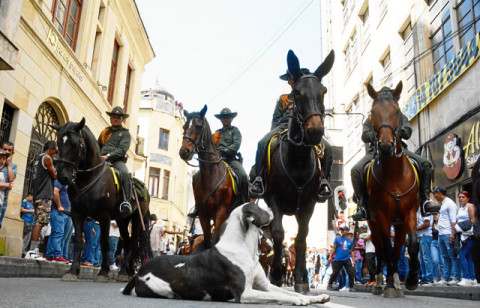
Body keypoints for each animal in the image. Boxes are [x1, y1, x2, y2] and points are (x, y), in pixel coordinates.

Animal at [52, 118, 150, 282]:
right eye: (59, 142)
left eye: (75, 144)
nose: (62, 177)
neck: (89, 177)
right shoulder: (77, 213)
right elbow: (78, 241)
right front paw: (72, 271)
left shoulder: (104, 216)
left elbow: (104, 243)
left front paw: (103, 272)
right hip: (123, 221)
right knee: (127, 242)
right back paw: (126, 272)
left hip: (137, 220)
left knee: (132, 243)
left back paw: (125, 272)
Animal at [121, 201, 330, 304]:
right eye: (259, 207)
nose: (273, 207)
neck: (245, 249)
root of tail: (139, 271)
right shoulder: (245, 293)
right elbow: (283, 295)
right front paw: (299, 301)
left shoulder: (264, 285)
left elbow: (288, 292)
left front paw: (314, 297)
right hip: (162, 288)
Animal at [179, 104, 242, 249]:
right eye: (184, 126)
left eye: (198, 126)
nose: (184, 152)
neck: (211, 177)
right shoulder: (203, 214)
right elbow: (208, 241)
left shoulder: (221, 213)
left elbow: (214, 242)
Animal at [266, 48, 334, 294]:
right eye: (297, 93)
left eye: (323, 91)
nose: (315, 131)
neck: (297, 160)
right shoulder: (274, 200)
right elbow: (278, 234)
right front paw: (276, 276)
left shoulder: (308, 205)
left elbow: (301, 238)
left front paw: (300, 279)